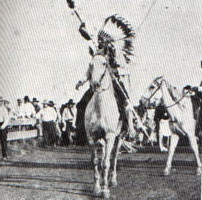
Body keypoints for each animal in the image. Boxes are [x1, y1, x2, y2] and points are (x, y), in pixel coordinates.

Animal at [84, 53, 122, 198]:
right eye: (90, 64)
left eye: (105, 63)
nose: (95, 84)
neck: (100, 109)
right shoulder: (91, 137)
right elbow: (95, 161)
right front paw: (97, 187)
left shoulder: (110, 136)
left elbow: (106, 163)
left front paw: (105, 190)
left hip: (119, 137)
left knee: (114, 157)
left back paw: (113, 180)